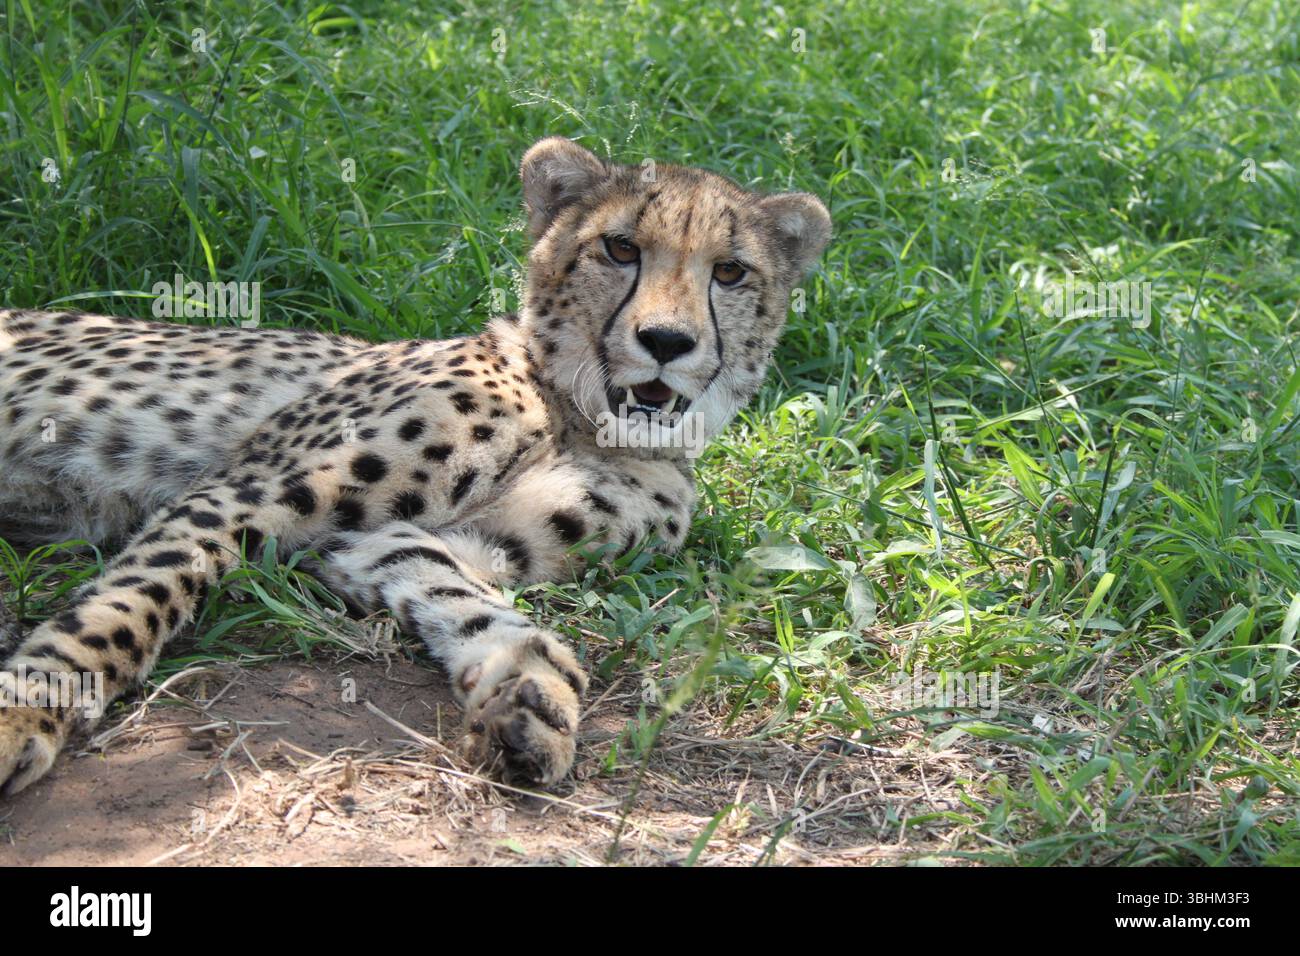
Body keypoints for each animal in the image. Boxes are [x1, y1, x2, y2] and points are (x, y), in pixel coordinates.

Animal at [0, 136, 831, 795]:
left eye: (730, 272)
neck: (580, 418)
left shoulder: (387, 541)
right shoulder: (242, 492)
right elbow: (127, 605)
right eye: (620, 249)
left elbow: (450, 586)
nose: (666, 341)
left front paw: (523, 686)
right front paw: (23, 716)